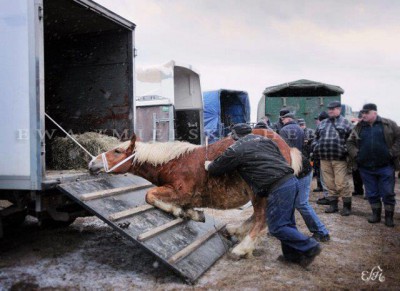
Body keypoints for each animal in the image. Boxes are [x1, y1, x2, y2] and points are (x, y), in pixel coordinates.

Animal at [87, 129, 300, 258]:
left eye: (117, 151)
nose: (91, 164)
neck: (173, 163)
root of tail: (285, 145)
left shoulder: (180, 192)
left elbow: (150, 195)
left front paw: (178, 211)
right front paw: (192, 213)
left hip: (259, 192)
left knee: (261, 218)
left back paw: (242, 247)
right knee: (256, 216)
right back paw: (235, 231)